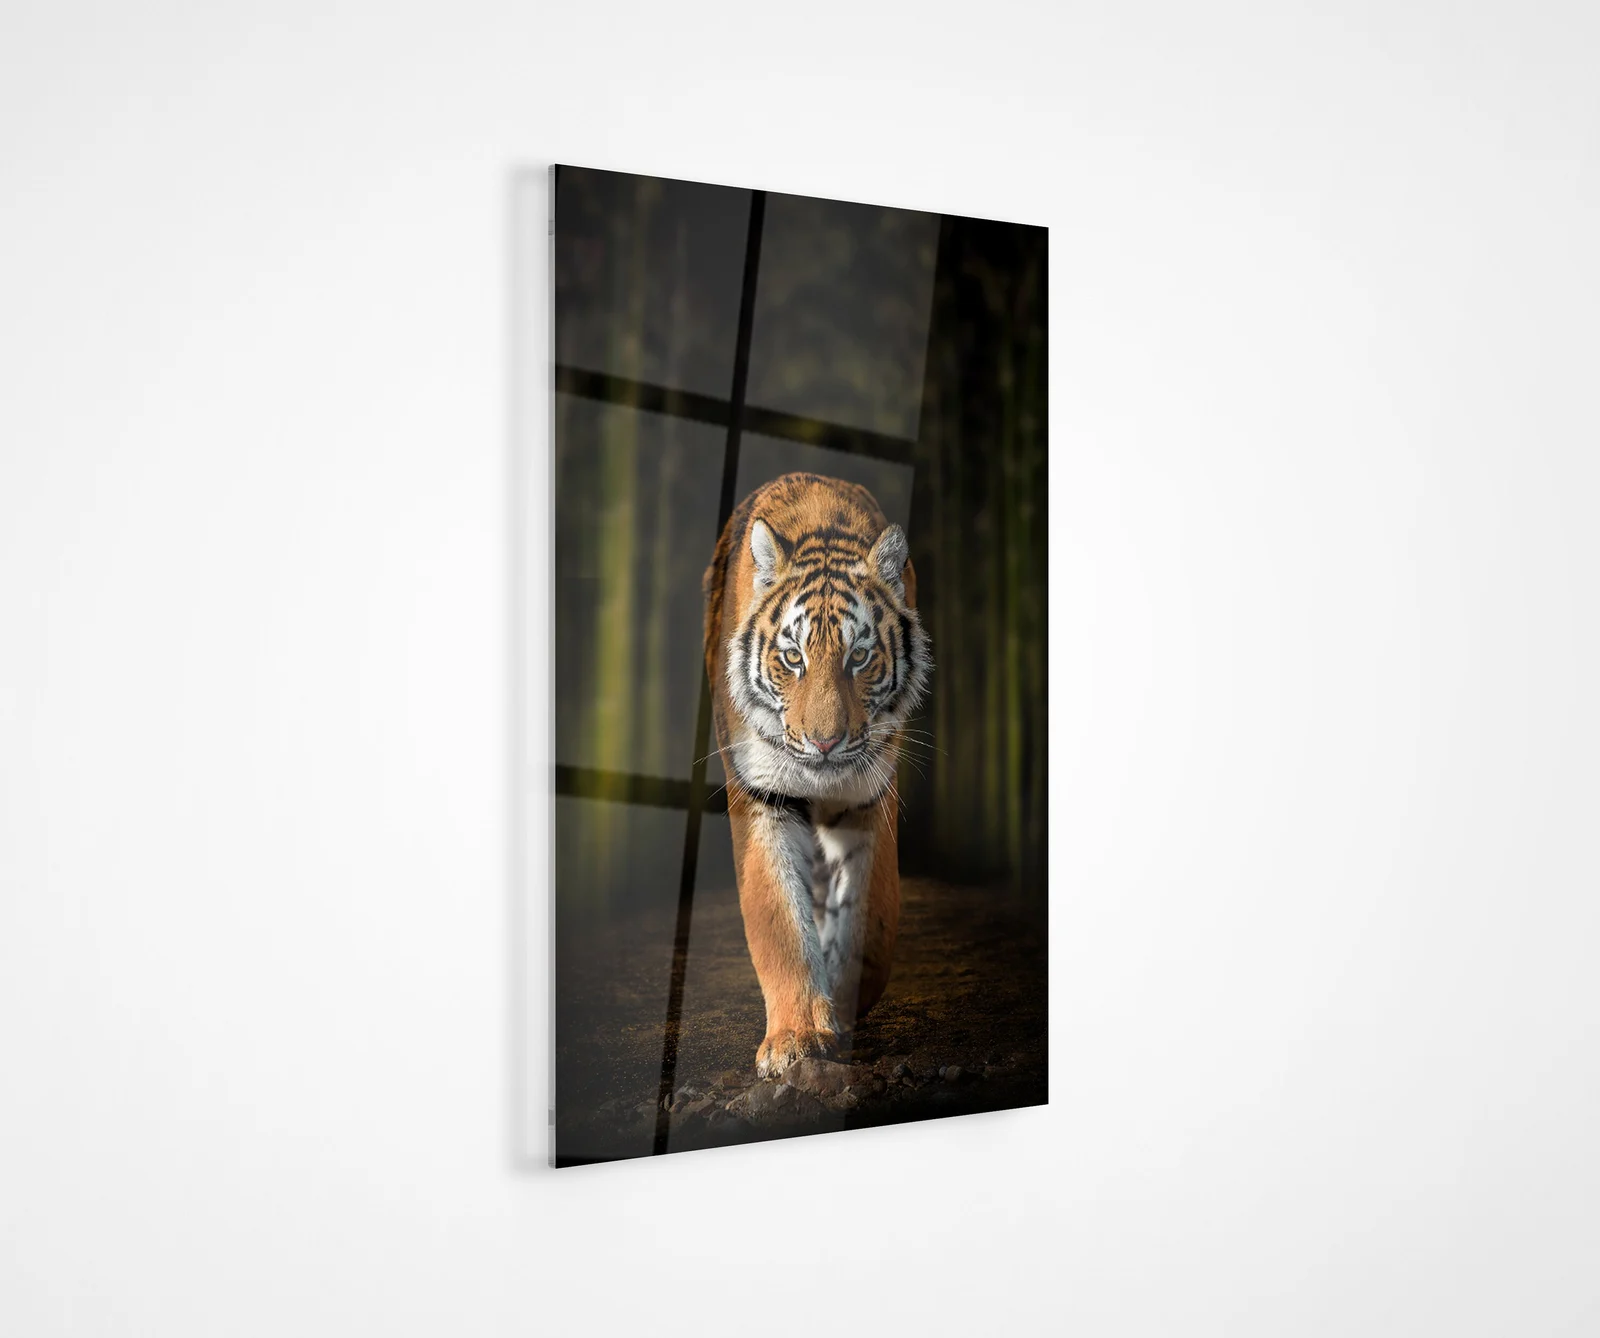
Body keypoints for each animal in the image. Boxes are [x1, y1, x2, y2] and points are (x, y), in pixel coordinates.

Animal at [702, 472, 932, 1077]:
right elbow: (779, 921)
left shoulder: (870, 794)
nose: (825, 742)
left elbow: (872, 915)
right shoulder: (764, 797)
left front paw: (846, 996)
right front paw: (799, 1038)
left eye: (859, 657)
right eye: (793, 658)